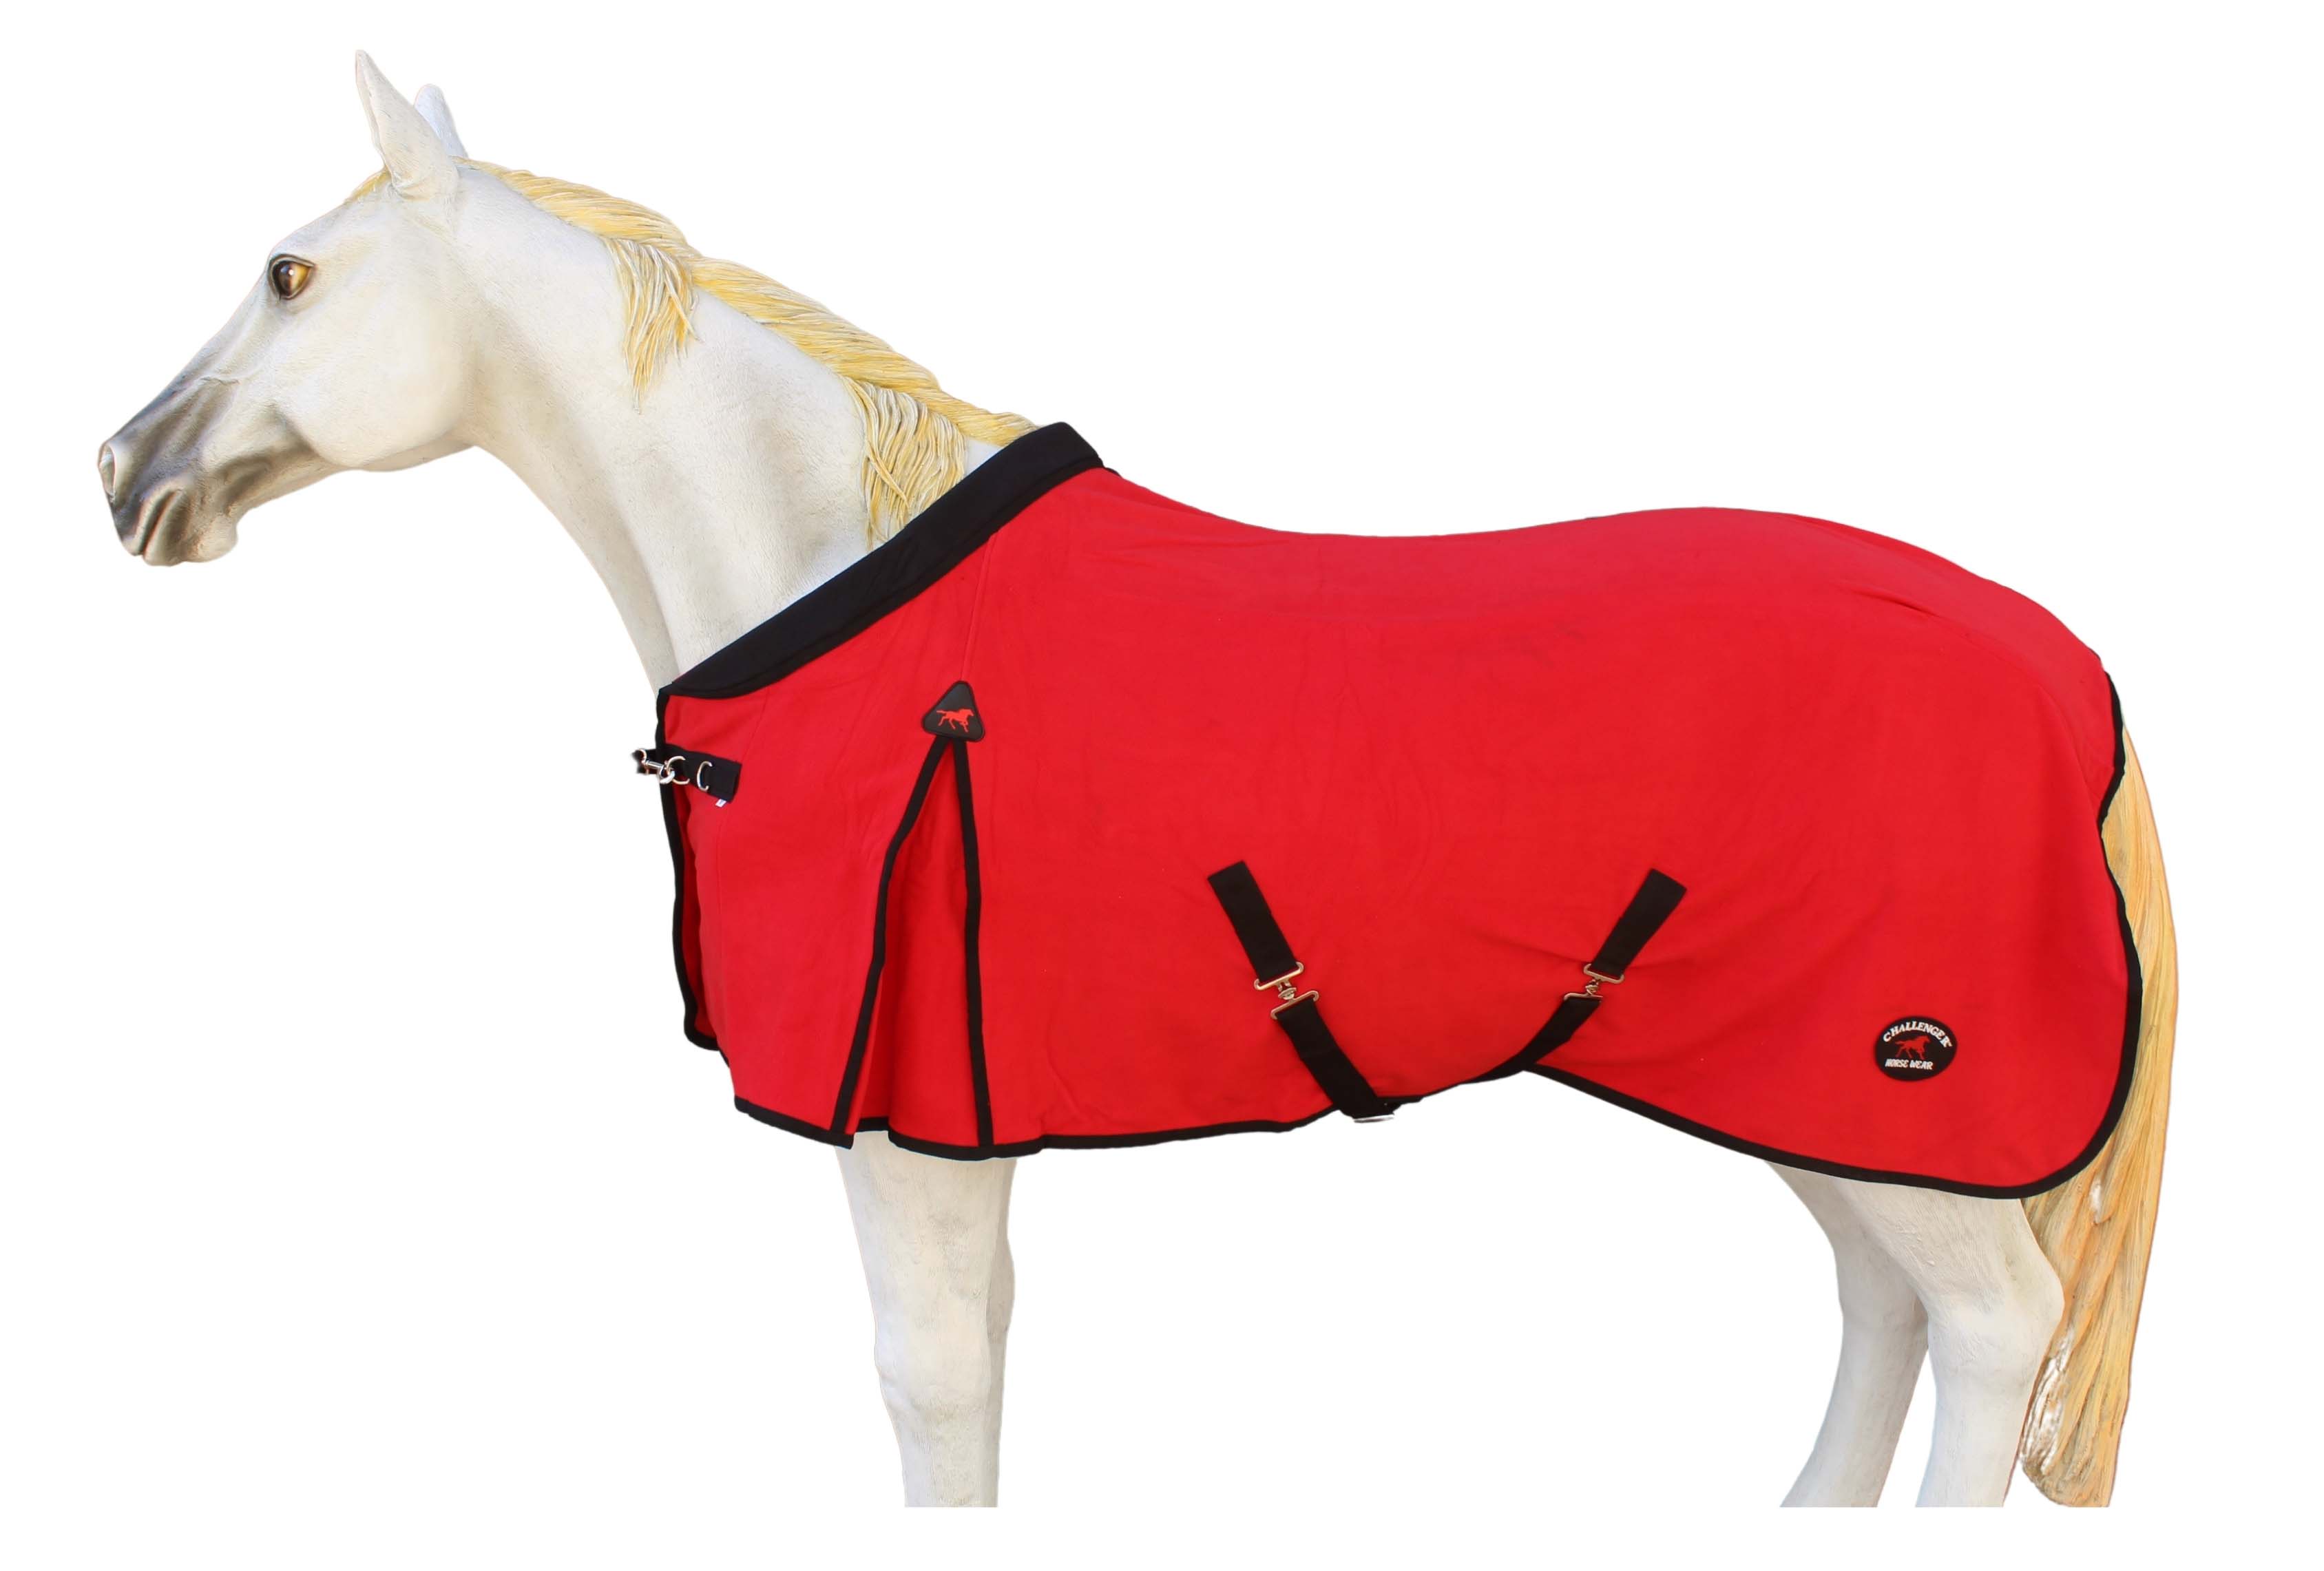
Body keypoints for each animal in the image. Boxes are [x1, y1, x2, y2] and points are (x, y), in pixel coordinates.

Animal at [96, 55, 2177, 1508]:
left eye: (289, 270)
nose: (126, 470)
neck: (839, 579)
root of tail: (2062, 669)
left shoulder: (898, 1135)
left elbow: (931, 1386)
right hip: (1796, 1081)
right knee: (1885, 1308)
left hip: (1891, 1083)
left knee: (1985, 1327)